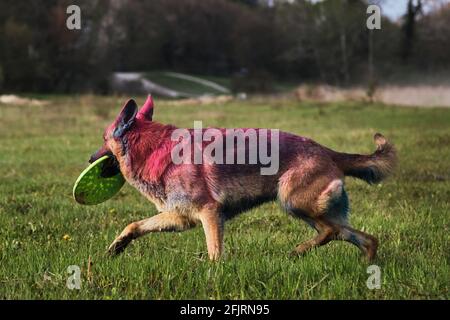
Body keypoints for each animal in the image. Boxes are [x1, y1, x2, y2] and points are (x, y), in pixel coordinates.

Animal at [89, 96, 398, 262]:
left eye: (103, 139)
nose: (89, 159)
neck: (153, 149)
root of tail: (329, 151)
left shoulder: (209, 214)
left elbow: (214, 252)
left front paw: (213, 274)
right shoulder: (180, 218)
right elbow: (134, 225)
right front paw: (116, 248)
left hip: (292, 201)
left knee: (330, 232)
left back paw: (298, 251)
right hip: (312, 210)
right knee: (363, 238)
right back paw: (363, 264)